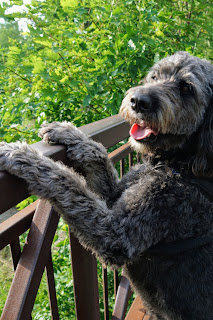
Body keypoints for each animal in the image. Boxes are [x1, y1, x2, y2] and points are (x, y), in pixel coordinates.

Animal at [0, 51, 213, 318]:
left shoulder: (118, 232)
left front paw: (22, 155)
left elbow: (68, 183)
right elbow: (99, 155)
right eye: (155, 76)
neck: (174, 164)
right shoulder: (114, 196)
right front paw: (68, 133)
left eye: (186, 88)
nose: (138, 101)